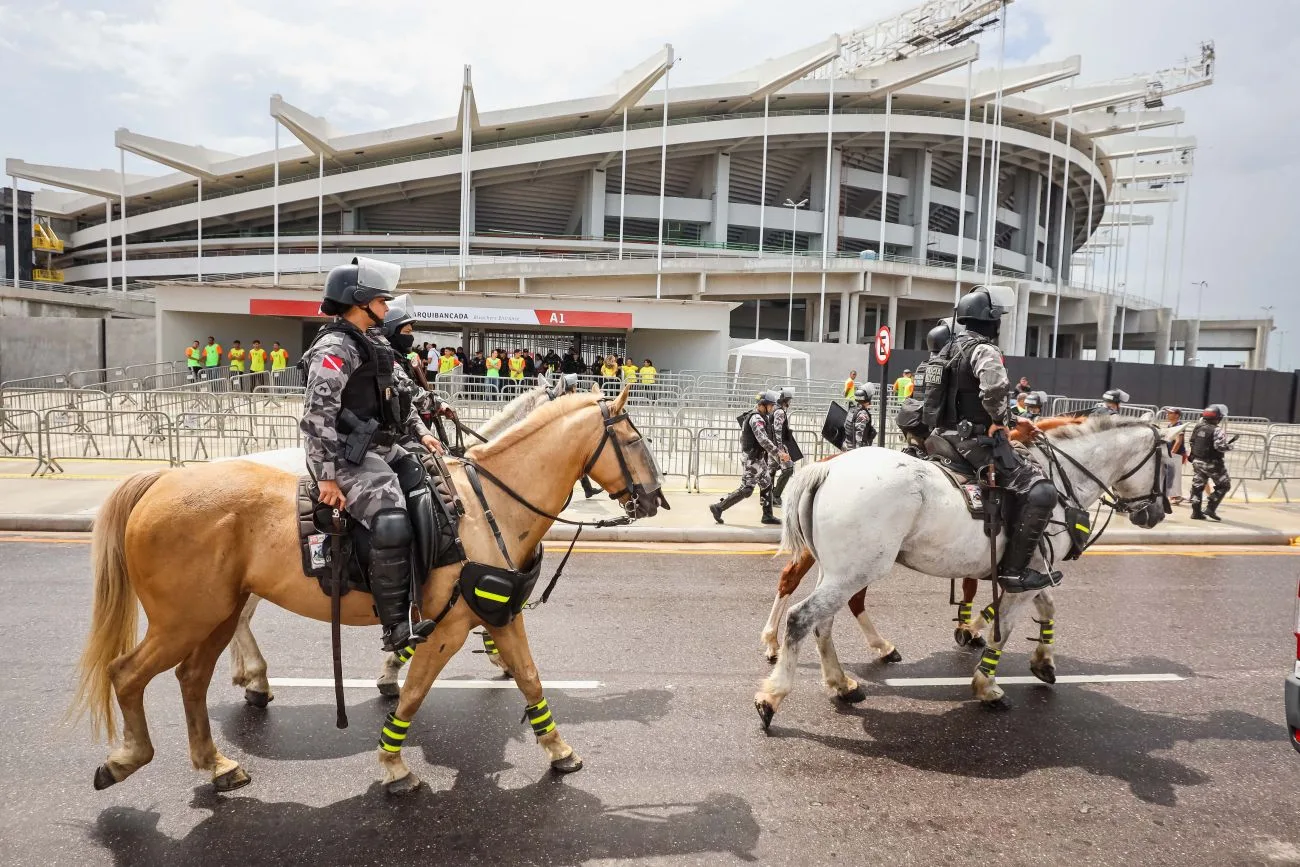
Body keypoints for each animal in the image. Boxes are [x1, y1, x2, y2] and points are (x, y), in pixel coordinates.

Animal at [754, 415, 1086, 660]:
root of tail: (828, 466)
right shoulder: (1021, 566)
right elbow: (988, 597)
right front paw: (973, 631)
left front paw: (972, 628)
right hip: (862, 563)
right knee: (834, 597)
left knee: (800, 584)